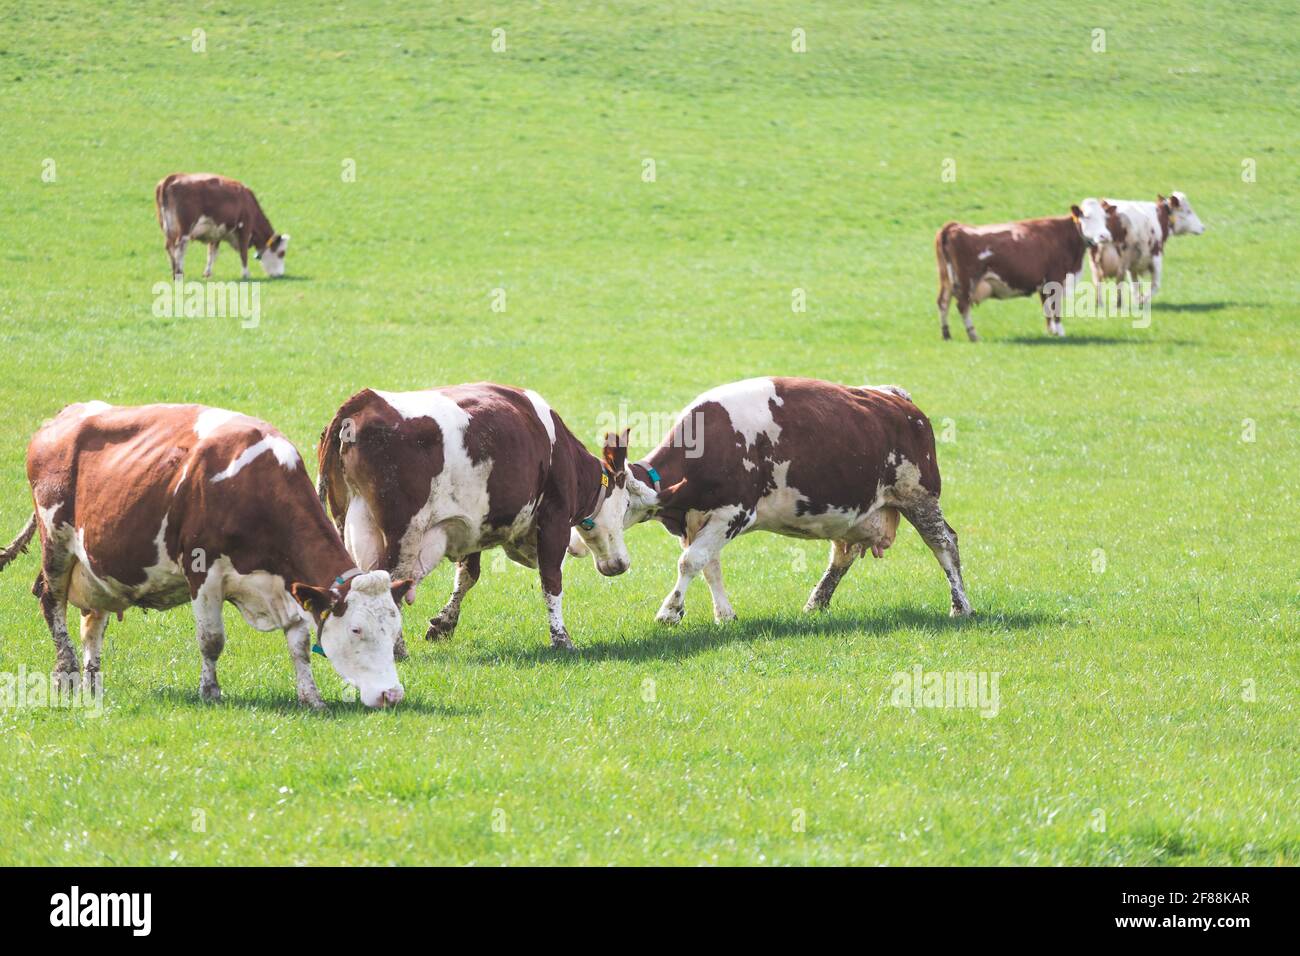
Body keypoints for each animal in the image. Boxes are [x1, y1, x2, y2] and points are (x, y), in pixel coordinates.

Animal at [0, 402, 411, 709]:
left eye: (394, 630)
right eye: (357, 629)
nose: (392, 695)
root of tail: (65, 416)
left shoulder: (289, 583)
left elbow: (299, 646)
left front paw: (311, 697)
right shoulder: (203, 571)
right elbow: (211, 639)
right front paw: (210, 691)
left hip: (97, 568)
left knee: (93, 621)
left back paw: (92, 682)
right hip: (56, 540)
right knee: (51, 601)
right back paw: (67, 674)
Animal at [155, 173, 290, 280]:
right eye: (281, 253)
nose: (280, 275)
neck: (248, 202)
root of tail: (173, 177)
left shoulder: (215, 233)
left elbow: (212, 254)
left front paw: (207, 273)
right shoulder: (245, 228)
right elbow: (243, 252)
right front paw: (246, 274)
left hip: (168, 229)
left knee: (170, 248)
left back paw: (175, 274)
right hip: (185, 229)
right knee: (179, 250)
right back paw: (179, 274)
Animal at [316, 384, 657, 651]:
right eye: (626, 505)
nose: (621, 564)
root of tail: (362, 402)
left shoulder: (473, 525)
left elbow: (468, 575)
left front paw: (443, 624)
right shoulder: (554, 518)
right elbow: (551, 579)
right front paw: (562, 639)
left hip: (348, 520)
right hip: (402, 534)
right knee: (388, 582)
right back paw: (396, 651)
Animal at [580, 377, 971, 624]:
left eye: (610, 508)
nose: (608, 565)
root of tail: (895, 398)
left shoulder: (733, 513)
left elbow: (690, 563)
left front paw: (670, 612)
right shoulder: (697, 519)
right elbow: (710, 566)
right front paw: (725, 615)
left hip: (919, 495)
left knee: (944, 544)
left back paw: (961, 606)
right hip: (856, 512)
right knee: (842, 556)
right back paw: (815, 604)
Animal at [935, 200, 1112, 340]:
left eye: (1105, 218)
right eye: (1087, 216)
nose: (1104, 236)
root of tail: (953, 226)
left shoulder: (1043, 283)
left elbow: (1046, 308)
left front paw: (1052, 332)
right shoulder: (1056, 278)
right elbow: (1055, 308)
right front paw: (1061, 333)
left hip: (946, 280)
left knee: (943, 302)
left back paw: (946, 334)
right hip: (967, 281)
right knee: (962, 305)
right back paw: (973, 335)